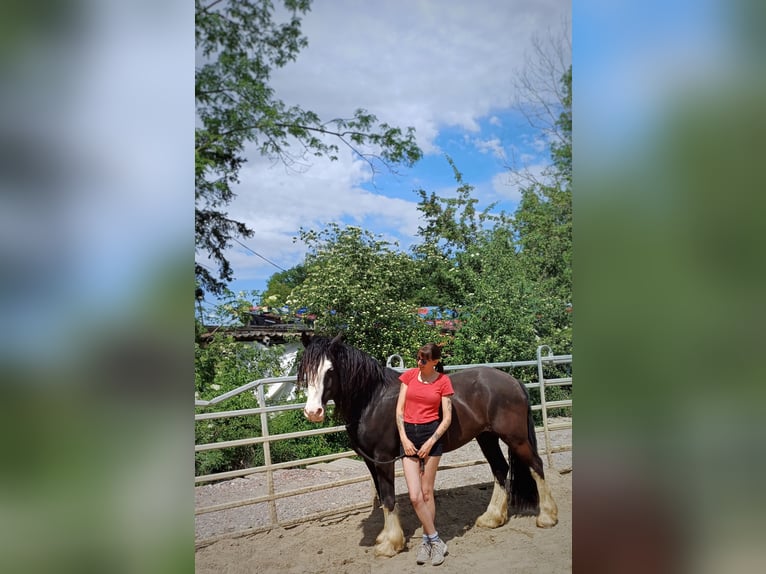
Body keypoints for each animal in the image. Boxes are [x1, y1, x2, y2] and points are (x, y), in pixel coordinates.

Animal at [296, 336, 560, 560]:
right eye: (306, 370)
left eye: (330, 370)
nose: (313, 412)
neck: (373, 400)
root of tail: (513, 382)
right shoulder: (371, 461)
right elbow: (382, 497)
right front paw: (385, 537)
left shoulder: (383, 458)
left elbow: (389, 498)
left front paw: (390, 544)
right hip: (487, 438)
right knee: (500, 469)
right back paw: (492, 518)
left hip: (516, 438)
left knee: (536, 465)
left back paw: (547, 517)